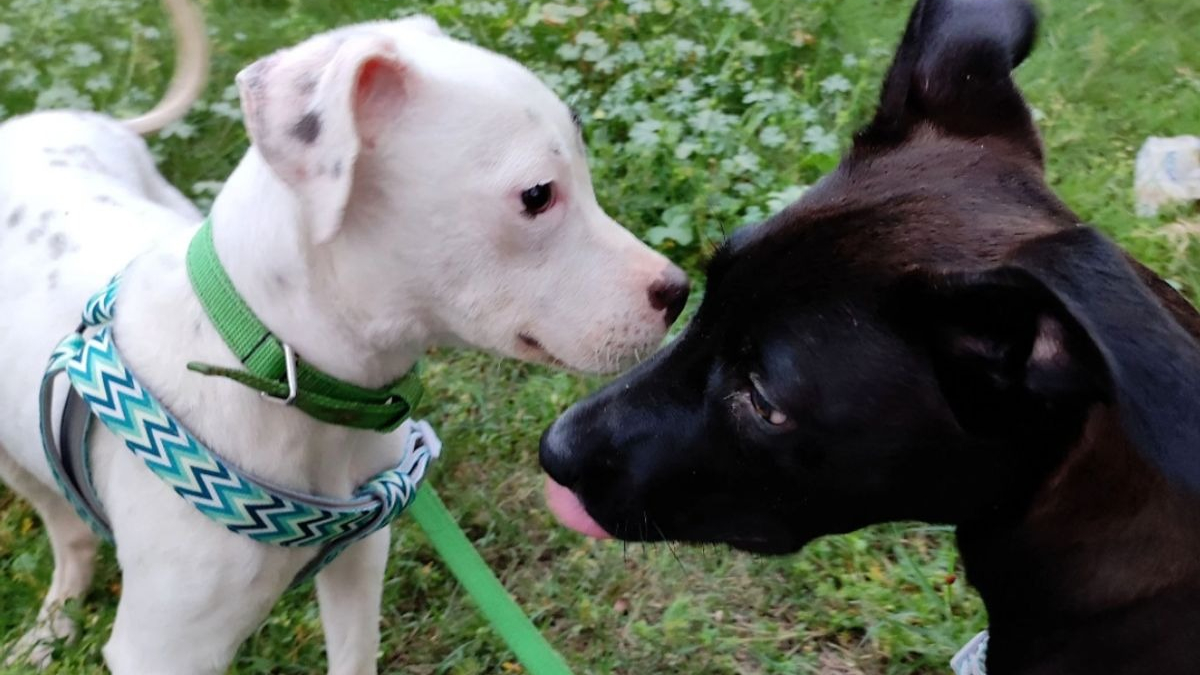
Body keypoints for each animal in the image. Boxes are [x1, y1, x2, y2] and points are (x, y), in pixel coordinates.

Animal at [0, 1, 691, 667]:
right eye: (539, 194)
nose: (680, 292)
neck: (279, 369)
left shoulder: (362, 558)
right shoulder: (167, 650)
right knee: (69, 534)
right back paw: (50, 628)